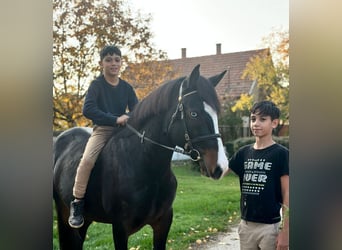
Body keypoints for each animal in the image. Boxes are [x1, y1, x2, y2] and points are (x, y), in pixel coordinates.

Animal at [52, 65, 230, 250]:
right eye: (194, 113)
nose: (221, 167)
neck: (145, 166)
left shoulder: (163, 223)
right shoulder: (120, 229)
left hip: (86, 218)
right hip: (64, 212)